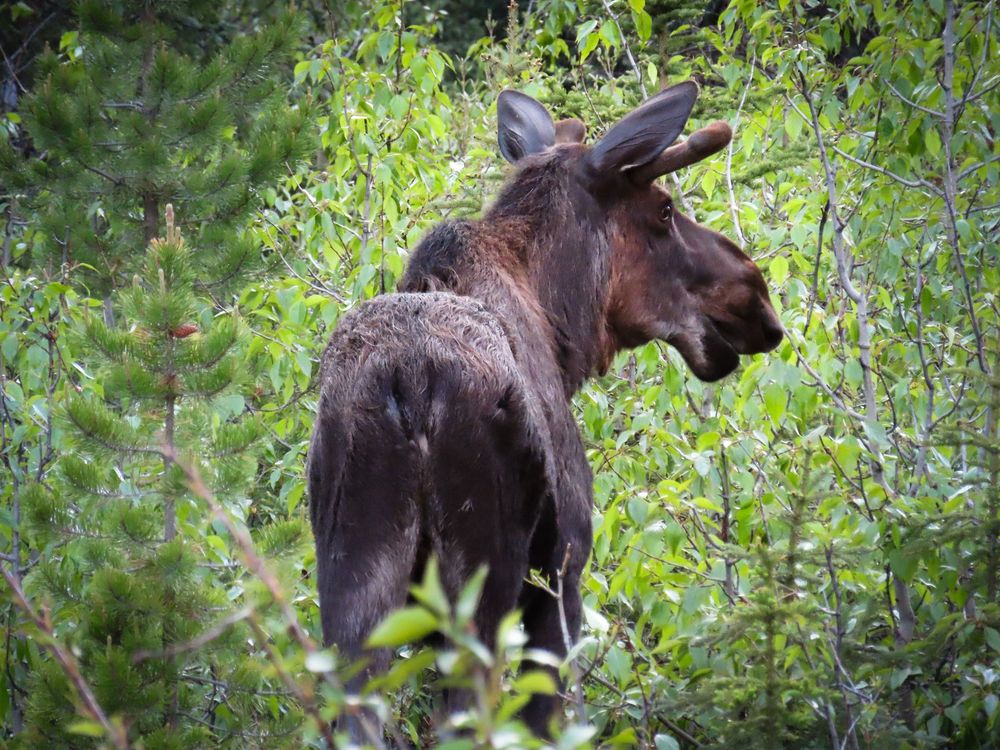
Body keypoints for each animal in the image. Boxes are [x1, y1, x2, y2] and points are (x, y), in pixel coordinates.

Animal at [307, 81, 783, 739]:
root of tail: (410, 380)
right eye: (664, 209)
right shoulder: (564, 572)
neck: (564, 328)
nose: (756, 297)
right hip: (480, 578)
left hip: (353, 577)